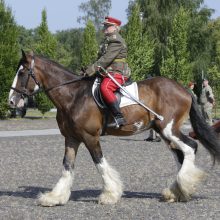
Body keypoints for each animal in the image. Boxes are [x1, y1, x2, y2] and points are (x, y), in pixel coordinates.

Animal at [8, 50, 220, 205]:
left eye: (22, 72)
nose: (11, 101)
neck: (73, 95)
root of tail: (183, 89)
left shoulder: (90, 137)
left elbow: (100, 163)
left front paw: (110, 194)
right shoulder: (71, 138)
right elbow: (67, 166)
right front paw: (55, 197)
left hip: (169, 129)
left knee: (191, 147)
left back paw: (184, 186)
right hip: (164, 132)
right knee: (180, 155)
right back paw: (177, 191)